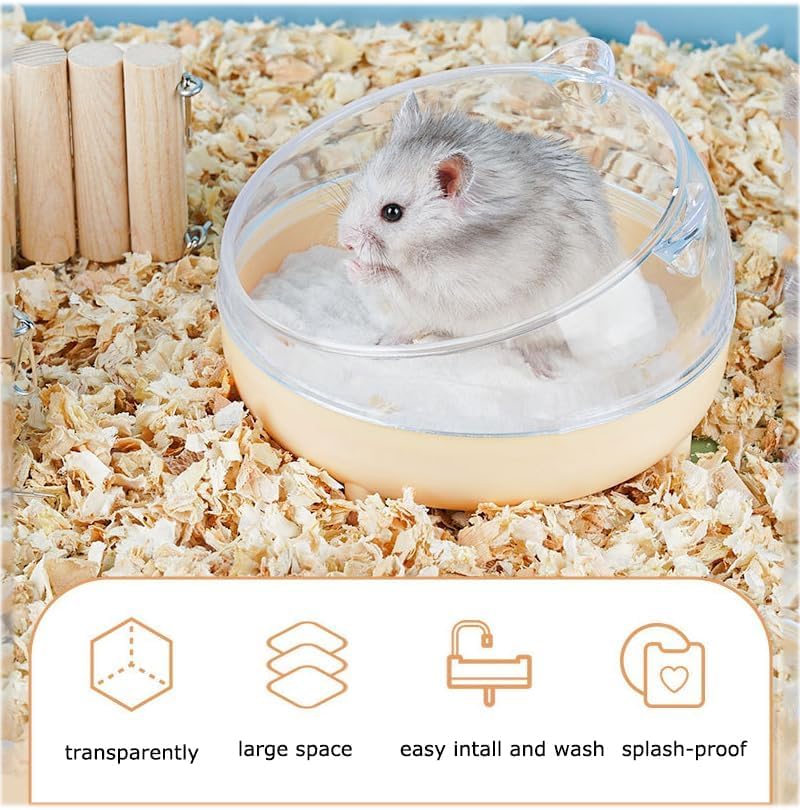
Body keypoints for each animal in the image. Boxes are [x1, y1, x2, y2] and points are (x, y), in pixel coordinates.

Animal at [337, 92, 622, 376]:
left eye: (392, 212)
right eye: (356, 186)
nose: (345, 243)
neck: (439, 245)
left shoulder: (460, 290)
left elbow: (402, 285)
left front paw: (354, 266)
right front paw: (349, 264)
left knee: (531, 345)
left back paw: (546, 373)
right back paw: (382, 344)